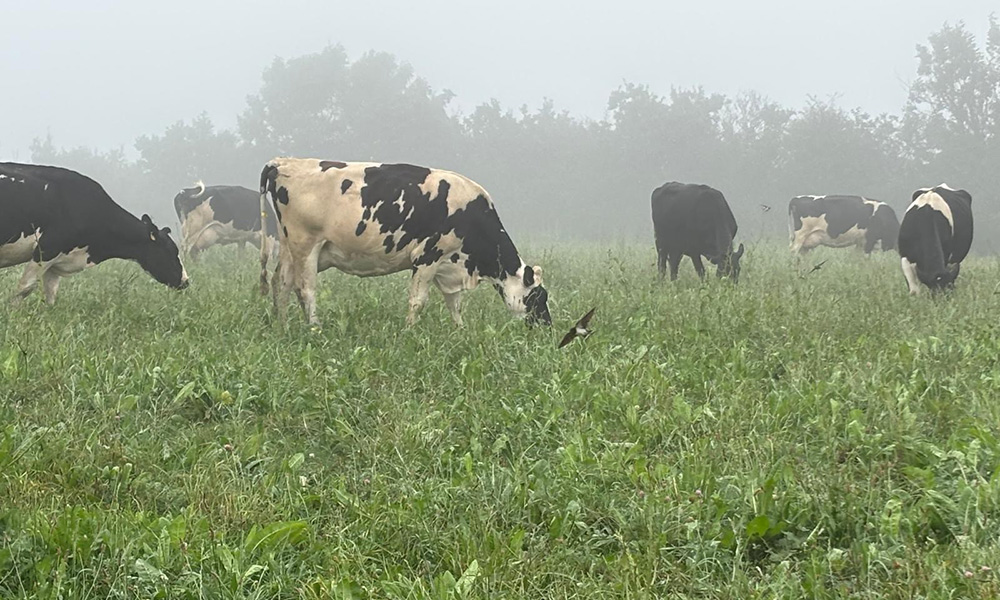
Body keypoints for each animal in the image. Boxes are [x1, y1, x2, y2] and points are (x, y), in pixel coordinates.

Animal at [0, 162, 188, 304]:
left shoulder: (57, 261)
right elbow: (25, 288)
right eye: (171, 252)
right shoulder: (47, 249)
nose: (186, 281)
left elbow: (51, 293)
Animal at [258, 159, 551, 327]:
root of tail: (284, 162)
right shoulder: (428, 257)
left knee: (281, 282)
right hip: (306, 243)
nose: (547, 326)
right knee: (305, 289)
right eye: (539, 296)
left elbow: (454, 304)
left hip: (289, 245)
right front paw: (410, 332)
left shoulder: (449, 264)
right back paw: (315, 329)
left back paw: (282, 326)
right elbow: (418, 301)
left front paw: (460, 332)